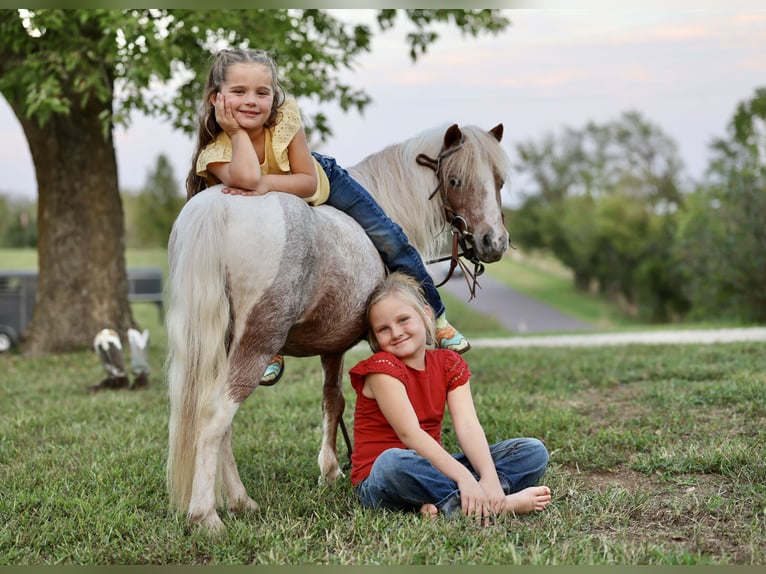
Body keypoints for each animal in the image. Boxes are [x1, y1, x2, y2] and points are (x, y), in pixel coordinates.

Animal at [165, 121, 512, 531]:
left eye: (499, 182)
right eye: (456, 181)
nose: (494, 242)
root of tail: (218, 205)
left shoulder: (332, 346)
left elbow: (332, 399)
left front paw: (329, 470)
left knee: (220, 424)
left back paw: (239, 501)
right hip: (255, 341)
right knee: (217, 414)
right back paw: (207, 515)